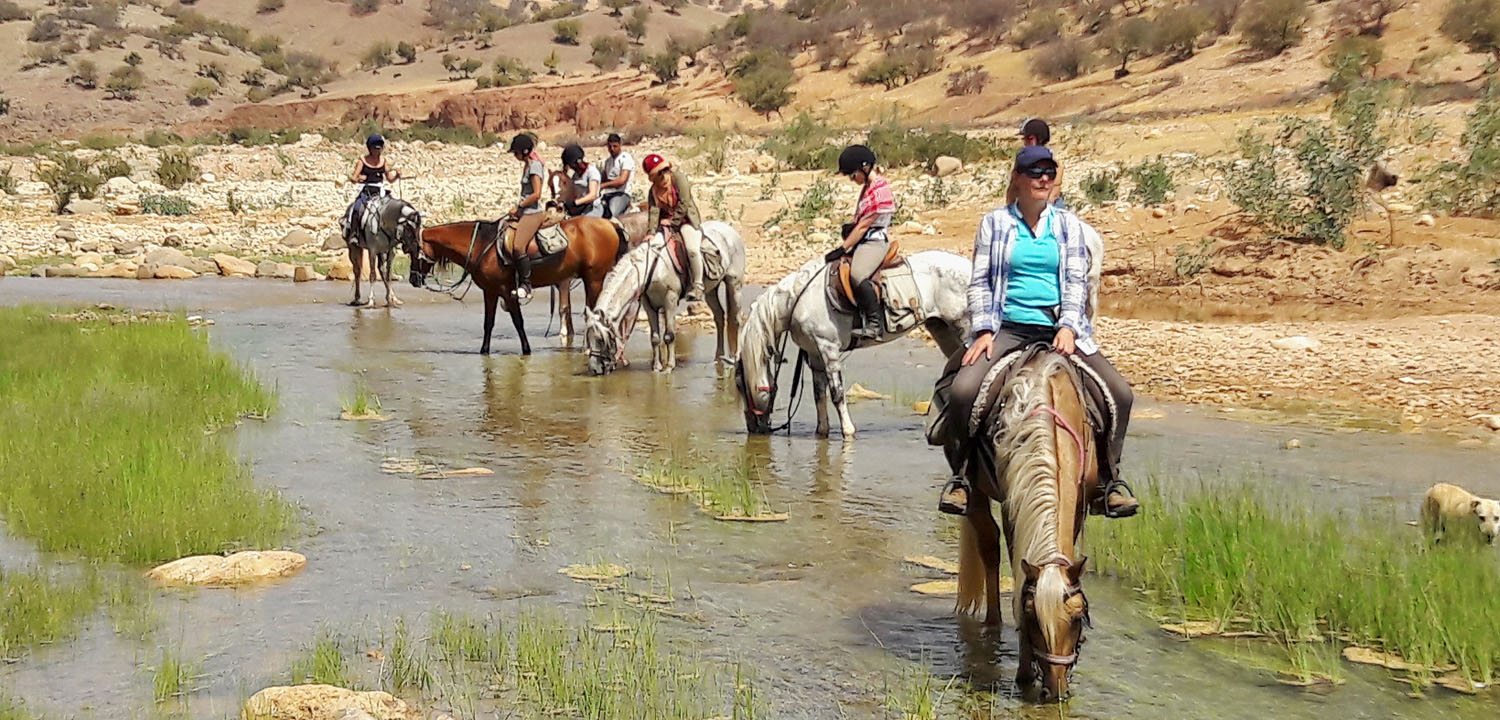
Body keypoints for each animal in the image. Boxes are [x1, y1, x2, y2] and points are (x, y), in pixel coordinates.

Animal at [404, 216, 627, 355]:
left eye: (411, 250)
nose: (413, 280)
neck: (482, 245)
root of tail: (609, 224)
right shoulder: (490, 292)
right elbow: (488, 324)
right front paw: (484, 351)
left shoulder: (506, 291)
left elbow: (518, 322)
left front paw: (526, 350)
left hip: (594, 280)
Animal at [583, 220, 746, 374]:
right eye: (588, 338)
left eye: (601, 339)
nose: (595, 369)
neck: (652, 267)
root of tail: (729, 230)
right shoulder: (648, 304)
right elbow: (655, 338)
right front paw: (656, 367)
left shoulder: (670, 300)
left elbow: (669, 335)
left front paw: (669, 366)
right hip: (711, 291)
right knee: (719, 317)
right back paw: (718, 357)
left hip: (734, 285)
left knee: (736, 319)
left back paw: (735, 356)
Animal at [732, 250, 970, 438]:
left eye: (740, 386)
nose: (753, 427)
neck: (798, 300)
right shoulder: (815, 355)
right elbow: (819, 395)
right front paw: (822, 432)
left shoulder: (829, 350)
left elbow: (837, 394)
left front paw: (848, 431)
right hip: (942, 330)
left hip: (963, 328)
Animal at [955, 350, 1099, 702]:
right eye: (1032, 618)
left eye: (1077, 618)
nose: (1056, 691)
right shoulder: (1012, 504)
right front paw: (1023, 674)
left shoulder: (1077, 507)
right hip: (975, 492)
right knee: (989, 548)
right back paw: (992, 626)